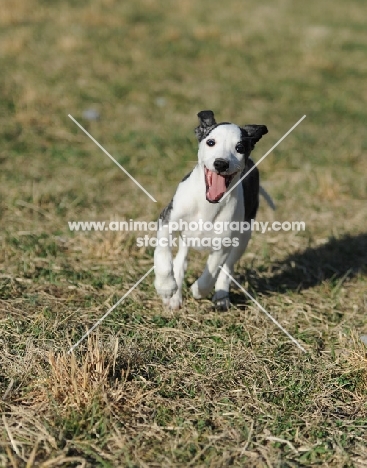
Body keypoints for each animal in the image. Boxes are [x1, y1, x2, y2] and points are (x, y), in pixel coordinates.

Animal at [154, 109, 268, 310]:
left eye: (239, 148)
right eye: (211, 142)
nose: (221, 163)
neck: (207, 205)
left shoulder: (223, 243)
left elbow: (213, 269)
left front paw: (199, 290)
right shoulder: (167, 220)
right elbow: (163, 254)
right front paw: (166, 286)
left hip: (243, 237)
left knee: (228, 267)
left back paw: (221, 296)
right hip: (187, 238)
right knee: (180, 261)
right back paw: (174, 297)